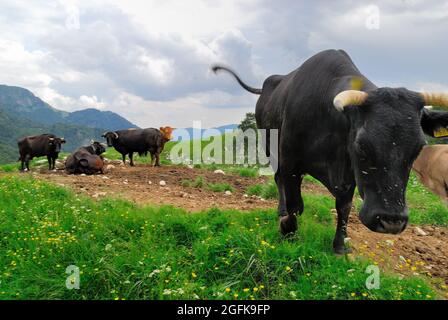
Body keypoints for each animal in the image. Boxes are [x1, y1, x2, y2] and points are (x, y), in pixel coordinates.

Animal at [212, 49, 448, 255]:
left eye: (418, 147)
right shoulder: (291, 163)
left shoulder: (349, 174)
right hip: (269, 147)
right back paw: (281, 210)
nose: (391, 221)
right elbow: (295, 204)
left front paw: (339, 245)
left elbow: (344, 206)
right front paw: (287, 229)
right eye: (361, 144)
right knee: (279, 180)